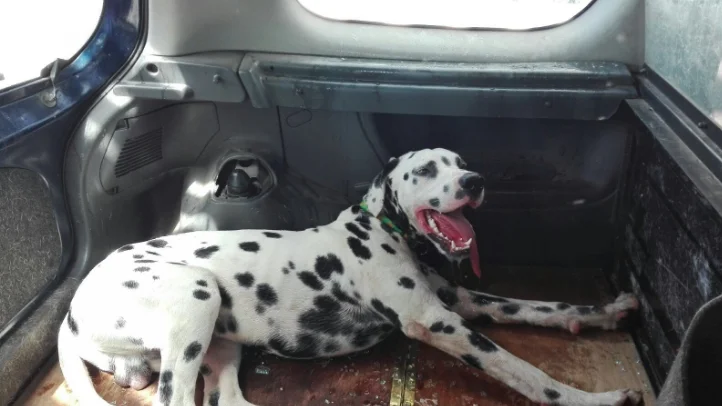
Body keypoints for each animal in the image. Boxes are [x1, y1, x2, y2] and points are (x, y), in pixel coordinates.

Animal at [59, 148, 640, 406]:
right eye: (426, 170)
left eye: (460, 162)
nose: (474, 181)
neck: (383, 230)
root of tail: (72, 308)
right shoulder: (438, 322)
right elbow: (523, 371)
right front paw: (595, 401)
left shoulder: (463, 301)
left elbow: (541, 308)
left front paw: (605, 312)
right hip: (195, 295)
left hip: (222, 350)